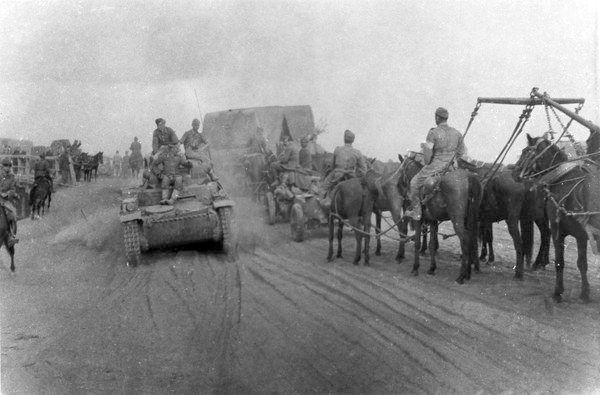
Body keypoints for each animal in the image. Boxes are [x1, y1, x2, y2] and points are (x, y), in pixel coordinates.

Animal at [512, 134, 600, 304]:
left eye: (525, 151)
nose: (514, 171)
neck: (564, 179)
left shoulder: (557, 228)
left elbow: (560, 262)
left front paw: (558, 292)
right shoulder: (581, 235)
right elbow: (582, 264)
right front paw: (585, 293)